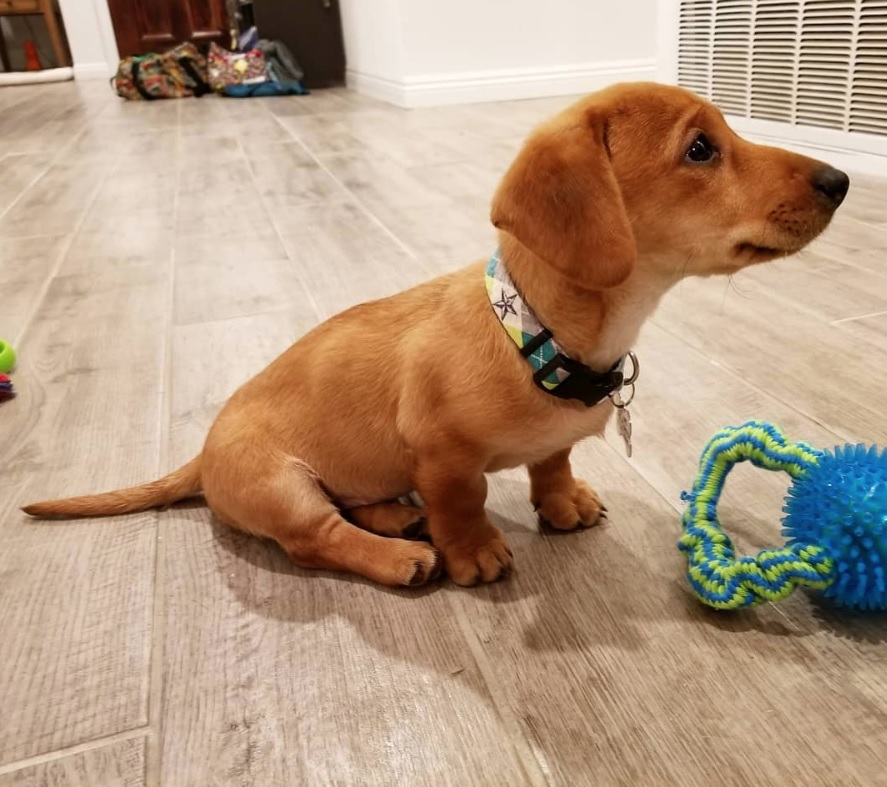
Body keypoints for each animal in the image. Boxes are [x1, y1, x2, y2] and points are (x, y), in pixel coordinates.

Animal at [24, 83, 848, 588]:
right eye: (700, 149)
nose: (839, 181)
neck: (536, 335)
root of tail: (200, 456)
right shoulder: (441, 451)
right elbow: (462, 499)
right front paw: (473, 551)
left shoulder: (545, 442)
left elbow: (551, 461)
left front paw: (562, 501)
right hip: (280, 487)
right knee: (316, 536)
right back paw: (397, 557)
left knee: (352, 504)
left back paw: (393, 514)